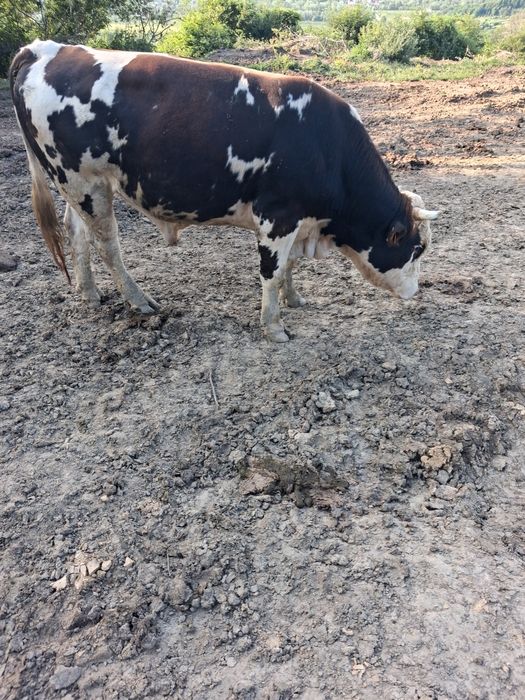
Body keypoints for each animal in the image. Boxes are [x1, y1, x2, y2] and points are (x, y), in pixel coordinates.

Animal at [10, 40, 438, 342]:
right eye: (416, 248)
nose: (416, 292)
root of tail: (48, 48)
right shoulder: (277, 215)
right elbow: (272, 271)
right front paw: (273, 326)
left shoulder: (297, 220)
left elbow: (289, 267)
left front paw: (294, 299)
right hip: (84, 182)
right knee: (107, 245)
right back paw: (138, 300)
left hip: (80, 183)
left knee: (76, 233)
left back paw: (88, 292)